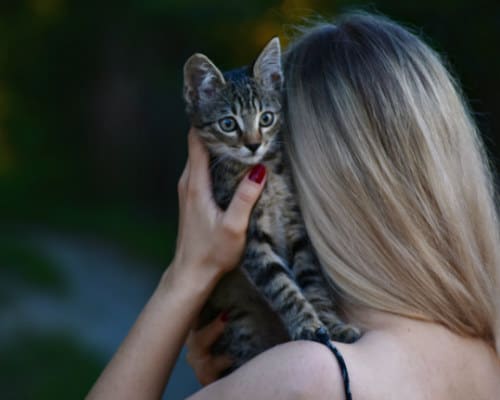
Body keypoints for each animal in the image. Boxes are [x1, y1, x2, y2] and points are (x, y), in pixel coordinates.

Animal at [184, 38, 360, 372]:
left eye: (266, 118)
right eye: (228, 124)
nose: (253, 144)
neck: (266, 171)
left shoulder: (297, 227)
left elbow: (312, 281)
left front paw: (330, 324)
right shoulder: (250, 238)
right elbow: (282, 285)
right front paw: (307, 325)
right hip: (238, 325)